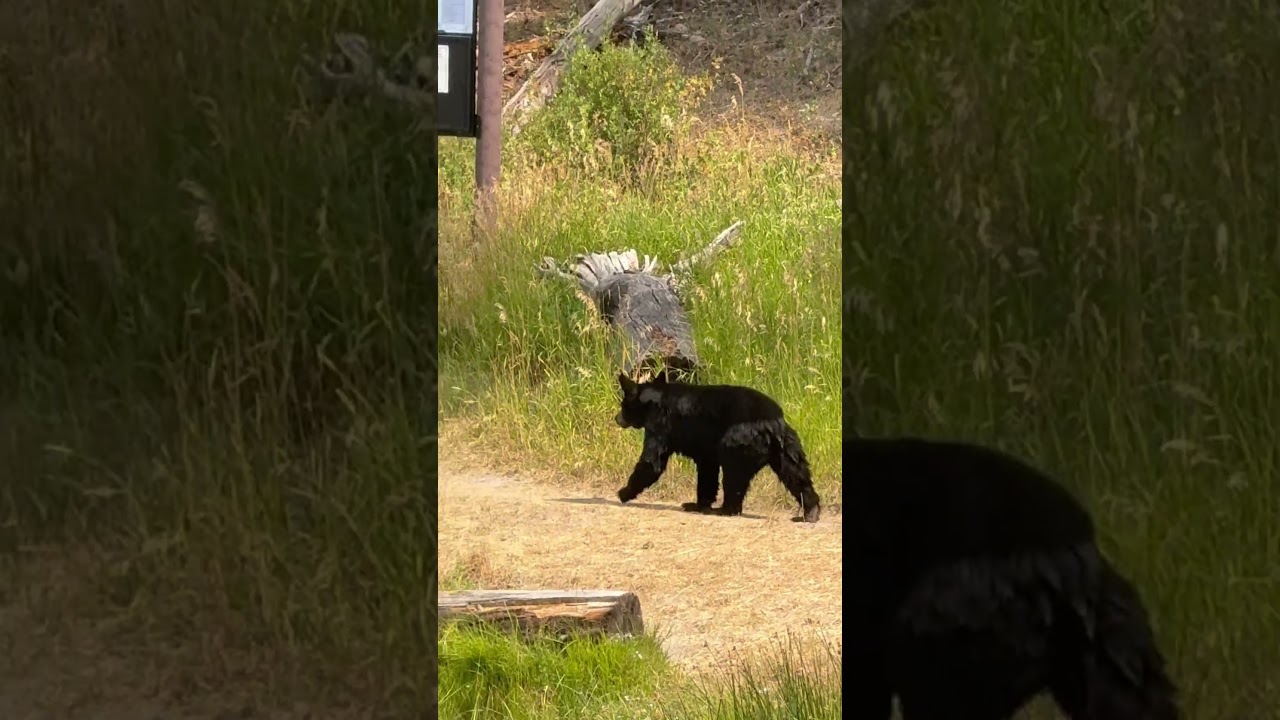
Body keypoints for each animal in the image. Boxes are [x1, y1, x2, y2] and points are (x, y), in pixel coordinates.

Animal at [613, 373, 822, 523]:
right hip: (787, 448)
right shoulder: (705, 450)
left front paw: (623, 493)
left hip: (738, 443)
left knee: (734, 474)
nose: (616, 418)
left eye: (623, 404)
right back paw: (810, 512)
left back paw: (726, 509)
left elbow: (652, 462)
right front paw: (698, 504)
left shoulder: (659, 427)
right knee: (796, 474)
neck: (656, 400)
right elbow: (707, 472)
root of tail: (772, 423)